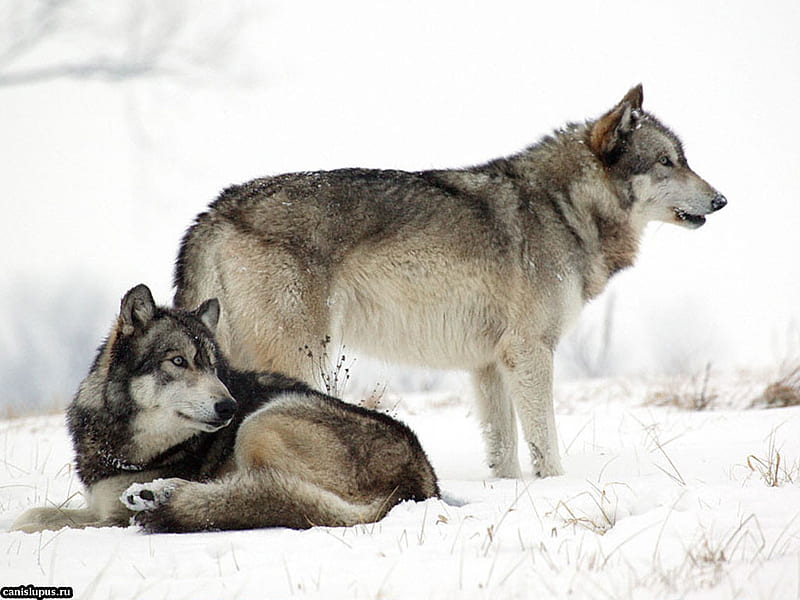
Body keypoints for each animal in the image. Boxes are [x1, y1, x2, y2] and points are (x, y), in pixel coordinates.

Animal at [12, 286, 438, 536]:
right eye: (179, 361)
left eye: (214, 367)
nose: (229, 406)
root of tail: (417, 485)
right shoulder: (97, 504)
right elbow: (32, 516)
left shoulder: (110, 518)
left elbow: (34, 521)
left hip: (260, 422)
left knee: (261, 495)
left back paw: (161, 495)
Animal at [173, 84, 724, 478]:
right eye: (668, 162)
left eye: (684, 159)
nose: (721, 200)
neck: (564, 209)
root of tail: (215, 210)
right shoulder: (530, 351)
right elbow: (545, 443)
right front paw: (556, 487)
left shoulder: (489, 365)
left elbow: (504, 453)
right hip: (300, 358)